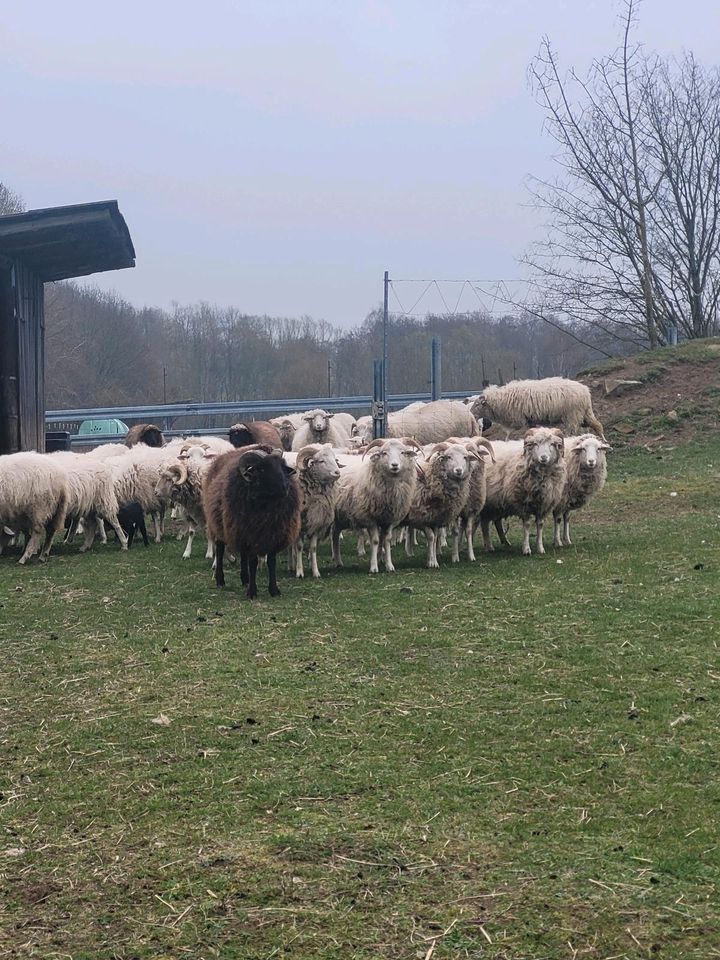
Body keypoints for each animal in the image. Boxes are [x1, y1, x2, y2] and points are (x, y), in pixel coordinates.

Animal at [202, 444, 300, 596]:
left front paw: (274, 590)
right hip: (219, 524)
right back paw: (220, 580)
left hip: (238, 529)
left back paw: (245, 579)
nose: (285, 487)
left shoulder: (273, 535)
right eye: (262, 469)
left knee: (243, 555)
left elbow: (271, 562)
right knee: (220, 550)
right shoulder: (251, 534)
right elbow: (253, 562)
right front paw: (252, 592)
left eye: (282, 466)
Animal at [332, 438, 422, 572]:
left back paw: (338, 561)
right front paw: (374, 566)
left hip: (339, 516)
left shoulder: (388, 519)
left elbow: (386, 540)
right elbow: (375, 541)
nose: (394, 465)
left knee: (335, 534)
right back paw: (337, 559)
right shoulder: (370, 518)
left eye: (402, 452)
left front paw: (388, 564)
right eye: (384, 453)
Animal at [472, 376, 608, 440]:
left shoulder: (520, 421)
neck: (502, 400)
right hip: (584, 413)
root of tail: (585, 391)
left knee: (573, 431)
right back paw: (604, 441)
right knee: (597, 425)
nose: (471, 413)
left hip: (572, 415)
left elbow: (510, 435)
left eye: (478, 404)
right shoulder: (530, 420)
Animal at [478, 428, 568, 556]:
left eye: (552, 444)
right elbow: (527, 525)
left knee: (488, 522)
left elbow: (540, 525)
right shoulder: (523, 503)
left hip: (492, 504)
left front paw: (540, 548)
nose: (543, 458)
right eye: (535, 444)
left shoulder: (543, 504)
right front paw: (526, 549)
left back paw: (496, 544)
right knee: (485, 524)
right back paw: (489, 547)